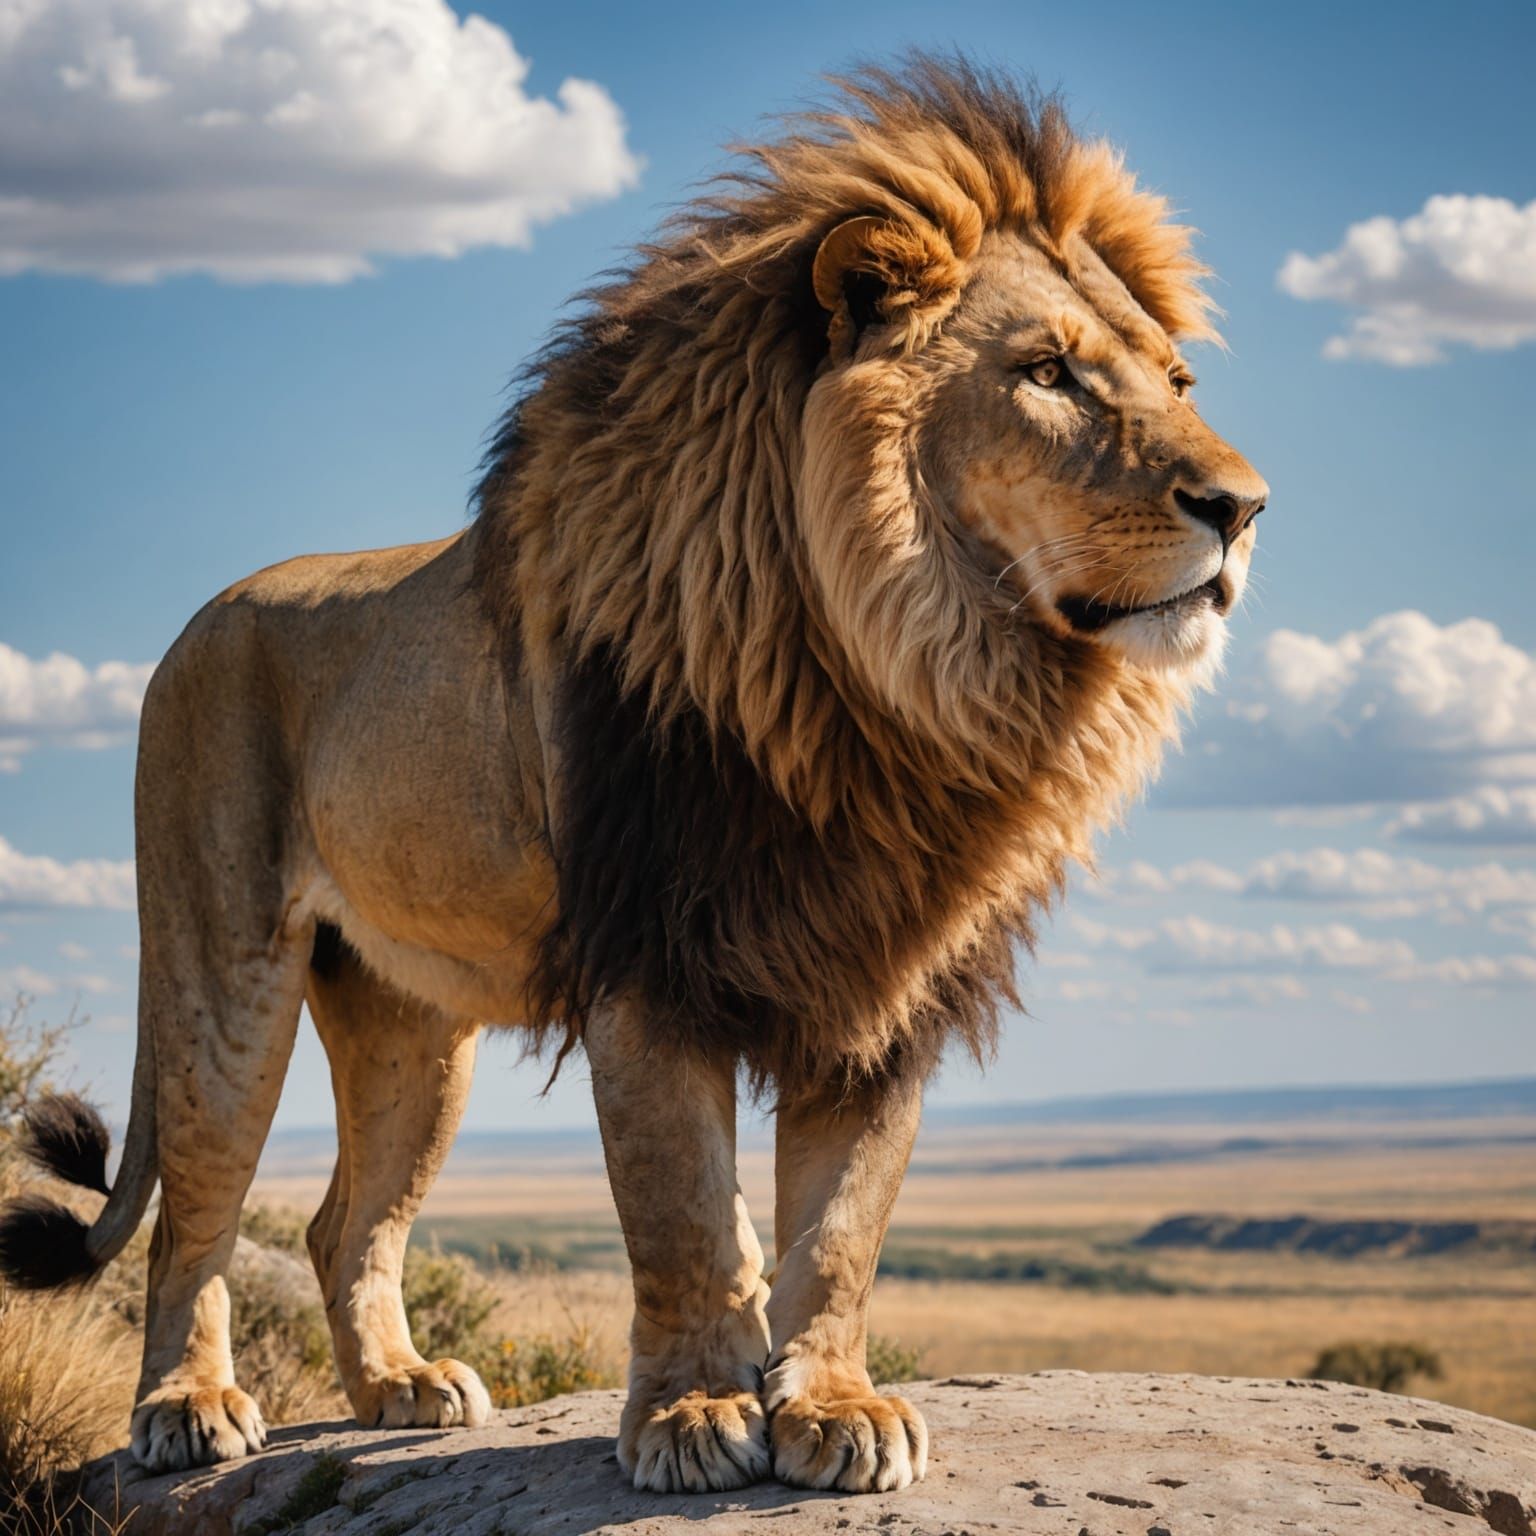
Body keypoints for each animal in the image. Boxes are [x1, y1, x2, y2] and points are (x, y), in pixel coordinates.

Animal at [0, 57, 1266, 1495]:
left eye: (1178, 378)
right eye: (1047, 372)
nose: (1245, 506)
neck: (897, 680)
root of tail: (197, 619)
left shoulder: (885, 974)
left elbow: (841, 1227)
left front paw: (834, 1409)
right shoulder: (653, 957)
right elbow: (685, 1215)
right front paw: (696, 1415)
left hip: (407, 1022)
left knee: (342, 1222)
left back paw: (399, 1387)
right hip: (224, 967)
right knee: (193, 1217)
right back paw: (185, 1408)